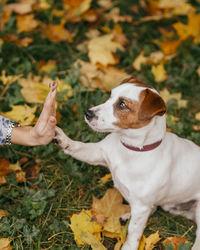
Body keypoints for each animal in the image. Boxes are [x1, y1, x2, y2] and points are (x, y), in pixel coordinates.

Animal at [55, 76, 200, 250]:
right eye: (110, 96)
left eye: (122, 105)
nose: (87, 113)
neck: (131, 149)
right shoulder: (97, 153)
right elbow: (78, 147)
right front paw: (63, 139)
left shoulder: (142, 206)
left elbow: (134, 230)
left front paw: (129, 246)